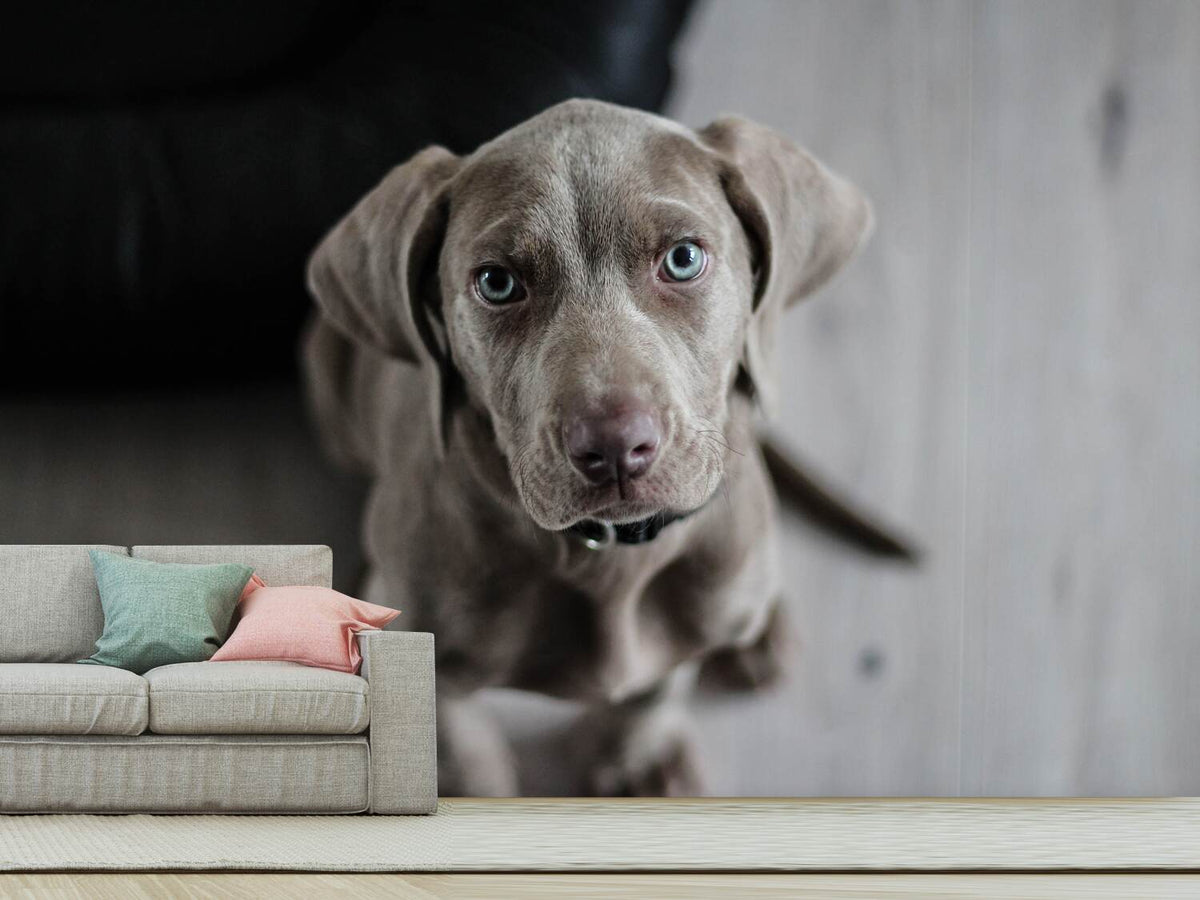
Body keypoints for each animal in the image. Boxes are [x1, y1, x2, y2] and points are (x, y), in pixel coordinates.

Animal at [304, 98, 897, 796]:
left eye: (683, 259)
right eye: (497, 283)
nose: (614, 448)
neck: (607, 557)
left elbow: (656, 688)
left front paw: (639, 759)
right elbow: (457, 739)